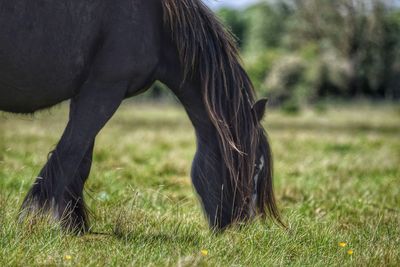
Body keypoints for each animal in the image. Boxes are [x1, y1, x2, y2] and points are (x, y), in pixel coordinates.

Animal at [0, 0, 282, 233]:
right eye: (253, 167)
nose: (240, 227)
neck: (158, 23)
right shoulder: (105, 89)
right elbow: (69, 154)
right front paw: (34, 221)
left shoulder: (88, 92)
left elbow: (81, 159)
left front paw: (73, 225)